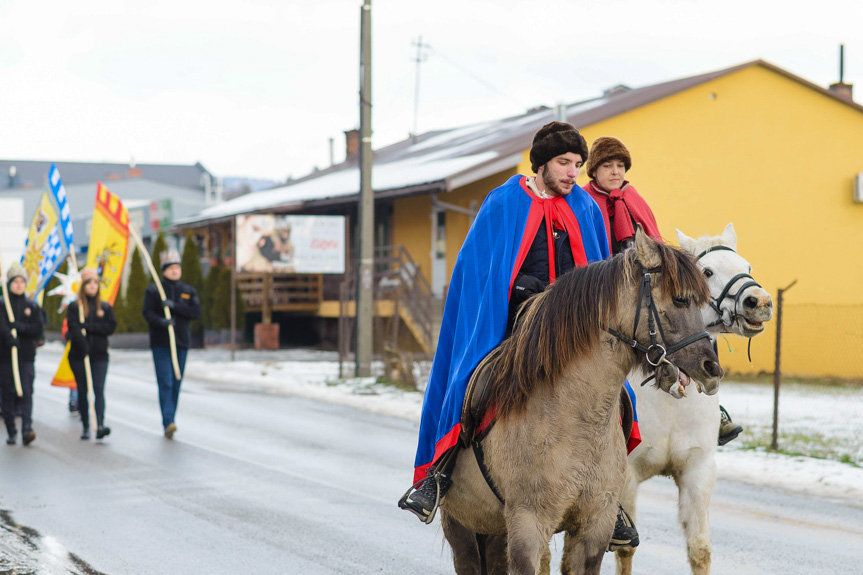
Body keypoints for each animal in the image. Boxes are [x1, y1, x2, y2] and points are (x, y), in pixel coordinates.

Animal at [438, 231, 724, 575]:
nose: (712, 369)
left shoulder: (595, 526)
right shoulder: (527, 524)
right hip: (462, 525)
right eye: (680, 299)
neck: (575, 417)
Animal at [616, 224, 776, 575]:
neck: (671, 400)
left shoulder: (698, 471)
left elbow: (700, 550)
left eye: (747, 267)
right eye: (707, 272)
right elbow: (624, 550)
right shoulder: (626, 476)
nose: (759, 302)